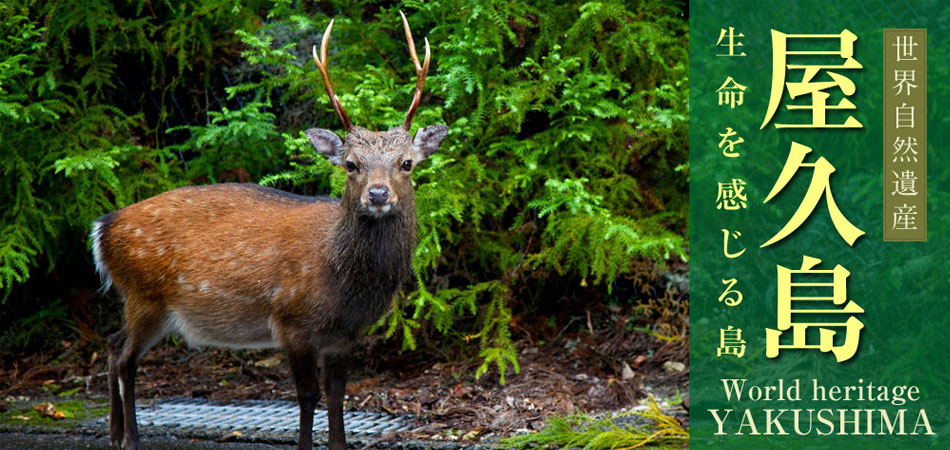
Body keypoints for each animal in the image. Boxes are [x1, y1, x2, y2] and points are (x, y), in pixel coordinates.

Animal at [91, 12, 448, 448]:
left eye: (407, 163)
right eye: (351, 164)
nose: (378, 193)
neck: (343, 278)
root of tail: (104, 227)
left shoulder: (345, 335)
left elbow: (337, 394)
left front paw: (338, 442)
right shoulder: (291, 321)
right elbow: (308, 395)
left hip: (145, 304)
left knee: (113, 345)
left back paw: (113, 433)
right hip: (143, 294)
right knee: (126, 359)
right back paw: (131, 438)